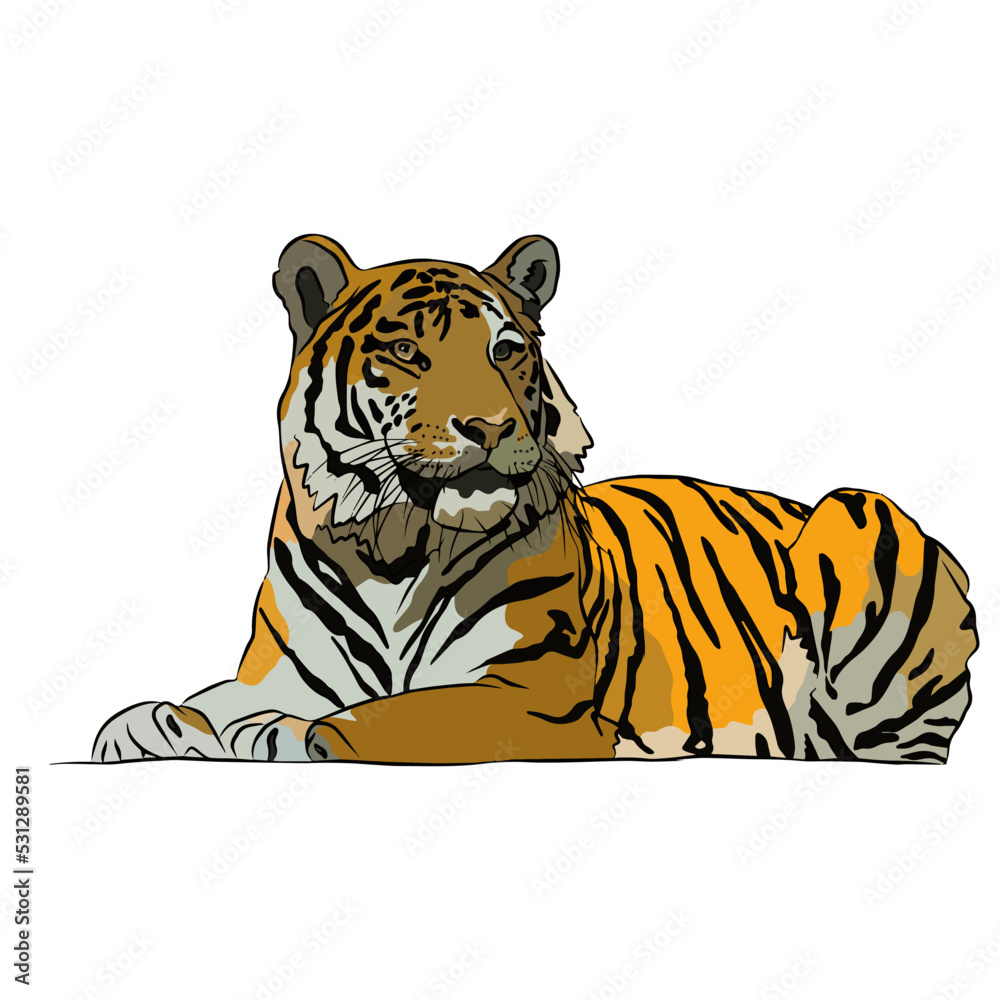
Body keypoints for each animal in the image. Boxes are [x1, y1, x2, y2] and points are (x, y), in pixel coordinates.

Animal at [91, 234, 978, 765]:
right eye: (406, 352)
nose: (490, 425)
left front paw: (286, 734)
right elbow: (214, 698)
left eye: (505, 351)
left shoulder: (532, 695)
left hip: (859, 517)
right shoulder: (283, 667)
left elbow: (400, 714)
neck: (391, 545)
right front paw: (147, 723)